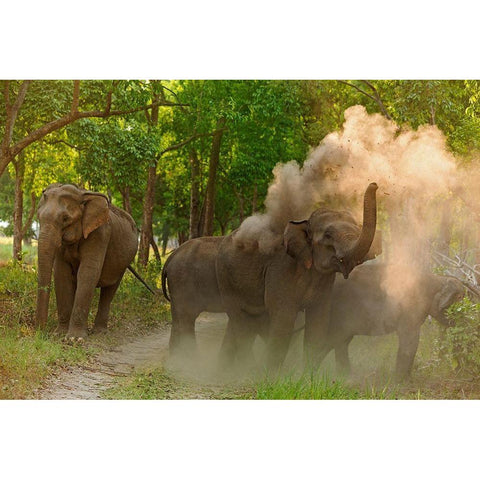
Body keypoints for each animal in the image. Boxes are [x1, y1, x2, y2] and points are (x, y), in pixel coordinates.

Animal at [34, 184, 138, 342]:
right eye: (39, 217)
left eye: (65, 218)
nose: (42, 332)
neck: (81, 194)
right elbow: (61, 274)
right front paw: (60, 334)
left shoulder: (100, 234)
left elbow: (88, 272)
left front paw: (74, 339)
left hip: (124, 262)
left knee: (109, 290)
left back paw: (99, 332)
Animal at [216, 182, 380, 370]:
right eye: (328, 235)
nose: (374, 184)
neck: (305, 222)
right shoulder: (280, 270)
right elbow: (284, 318)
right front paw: (270, 375)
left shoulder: (324, 282)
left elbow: (318, 320)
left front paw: (307, 375)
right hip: (224, 278)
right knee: (240, 322)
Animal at [322, 262, 464, 378]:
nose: (456, 370)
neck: (437, 278)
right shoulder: (410, 307)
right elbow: (409, 339)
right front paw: (402, 380)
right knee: (333, 340)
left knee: (341, 342)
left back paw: (345, 376)